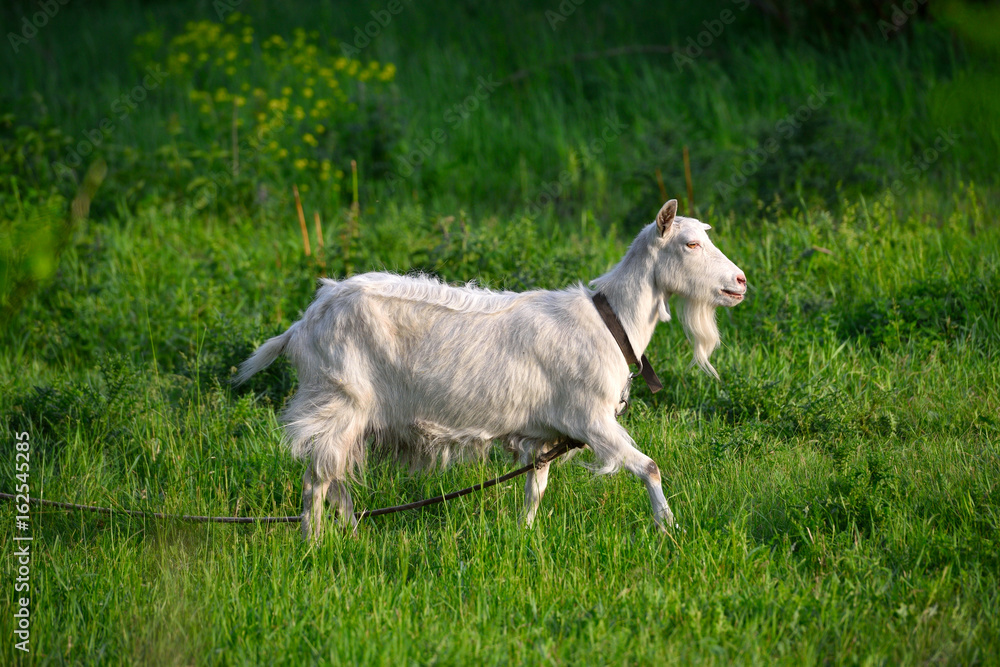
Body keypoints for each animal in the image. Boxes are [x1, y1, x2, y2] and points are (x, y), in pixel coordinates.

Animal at [238, 199, 747, 539]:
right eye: (691, 243)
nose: (740, 282)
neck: (611, 322)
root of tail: (302, 324)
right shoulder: (591, 419)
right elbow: (650, 467)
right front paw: (670, 527)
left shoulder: (545, 434)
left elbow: (535, 488)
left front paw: (524, 536)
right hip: (337, 398)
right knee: (316, 477)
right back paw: (314, 543)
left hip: (351, 415)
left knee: (335, 474)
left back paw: (349, 535)